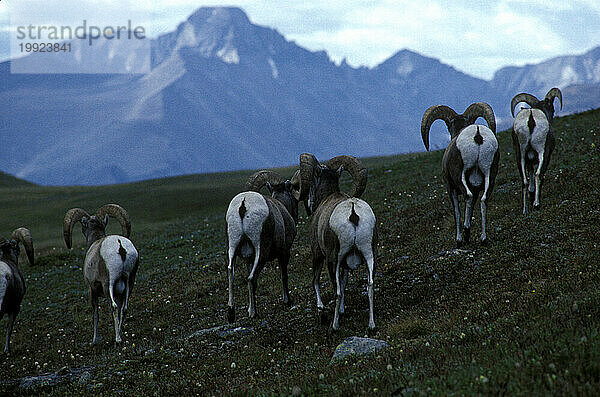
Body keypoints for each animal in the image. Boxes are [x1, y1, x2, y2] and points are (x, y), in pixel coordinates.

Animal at [63, 204, 138, 344]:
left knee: (113, 307)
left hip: (108, 284)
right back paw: (120, 334)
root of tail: (120, 245)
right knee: (124, 308)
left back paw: (117, 340)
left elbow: (95, 315)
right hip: (129, 283)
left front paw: (94, 340)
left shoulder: (92, 290)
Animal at [225, 169, 300, 322]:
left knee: (231, 273)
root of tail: (243, 204)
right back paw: (254, 313)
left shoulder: (249, 259)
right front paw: (287, 301)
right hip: (261, 252)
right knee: (251, 278)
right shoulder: (284, 252)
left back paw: (231, 314)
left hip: (233, 247)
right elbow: (284, 275)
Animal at [292, 153, 378, 330]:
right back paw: (371, 325)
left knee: (336, 291)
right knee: (370, 285)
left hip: (333, 260)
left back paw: (334, 326)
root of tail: (353, 212)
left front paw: (321, 310)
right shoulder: (346, 264)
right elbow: (344, 284)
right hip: (370, 254)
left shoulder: (318, 254)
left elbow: (316, 281)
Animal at [420, 101, 500, 244]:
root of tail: (477, 135)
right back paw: (483, 238)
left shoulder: (450, 187)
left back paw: (465, 233)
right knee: (484, 199)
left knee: (467, 196)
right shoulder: (476, 189)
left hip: (460, 177)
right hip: (489, 176)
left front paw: (459, 239)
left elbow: (456, 211)